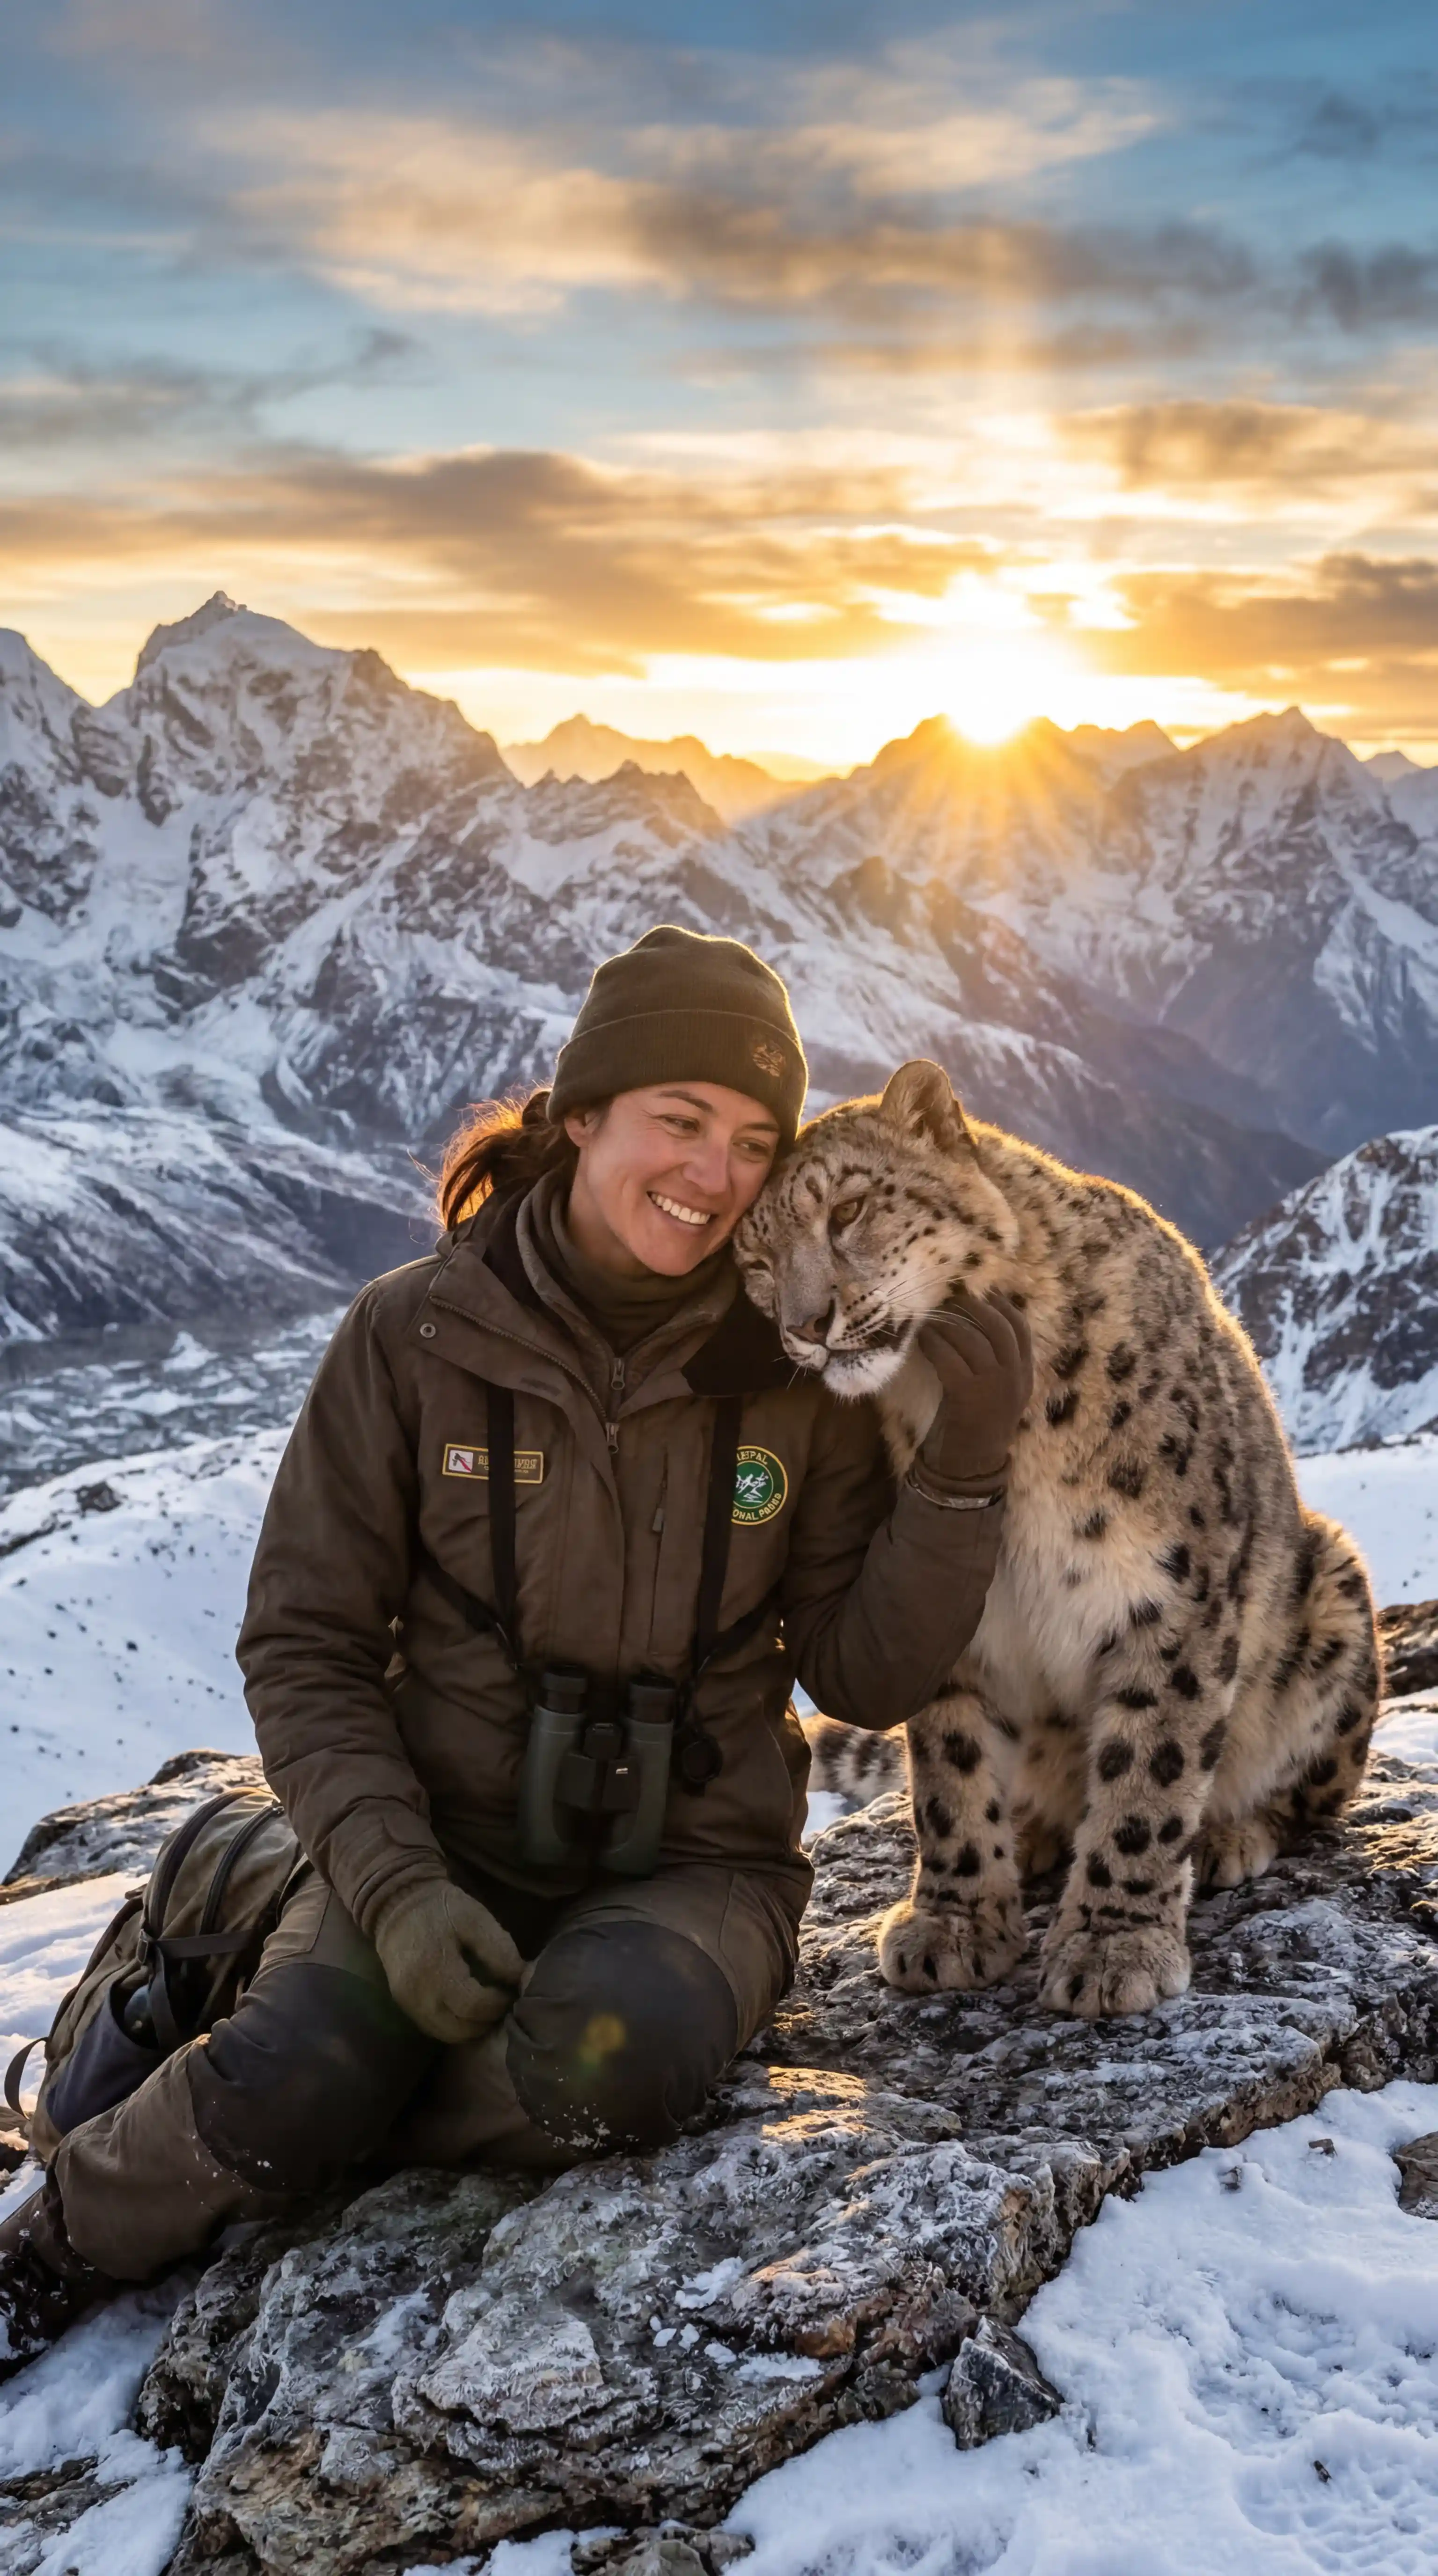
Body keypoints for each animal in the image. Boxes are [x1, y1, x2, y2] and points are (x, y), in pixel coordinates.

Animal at [736, 1060, 1382, 2020]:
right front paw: (956, 1922)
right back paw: (1035, 1833)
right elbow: (950, 1768)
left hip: (1332, 1597)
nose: (805, 1326)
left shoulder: (1169, 1594)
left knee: (1310, 1790)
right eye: (754, 1262)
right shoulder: (949, 1613)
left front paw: (1115, 1947)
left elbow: (1151, 1767)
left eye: (847, 1208)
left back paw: (1227, 1836)